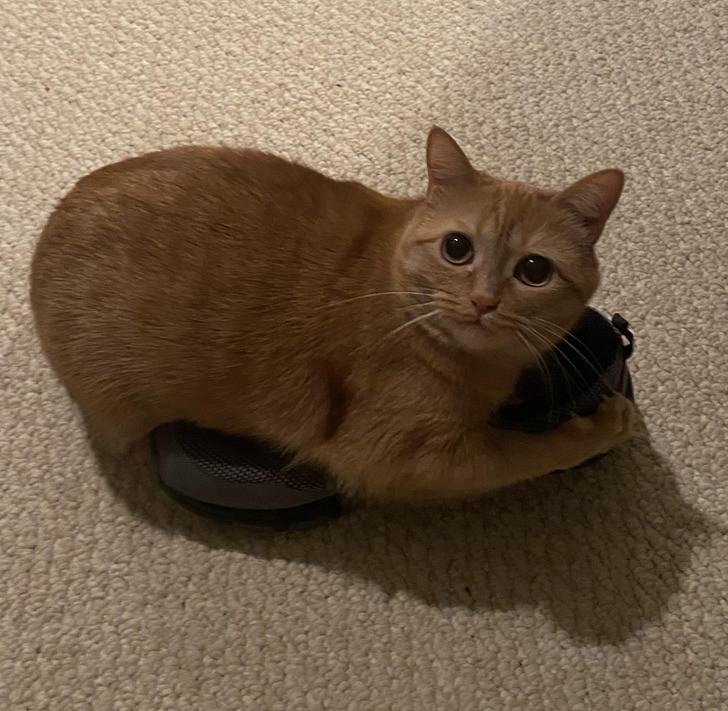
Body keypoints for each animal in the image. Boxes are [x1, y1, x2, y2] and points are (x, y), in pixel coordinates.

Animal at [30, 127, 635, 499]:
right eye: (457, 248)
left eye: (533, 270)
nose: (483, 301)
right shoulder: (407, 460)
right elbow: (533, 452)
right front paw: (603, 427)